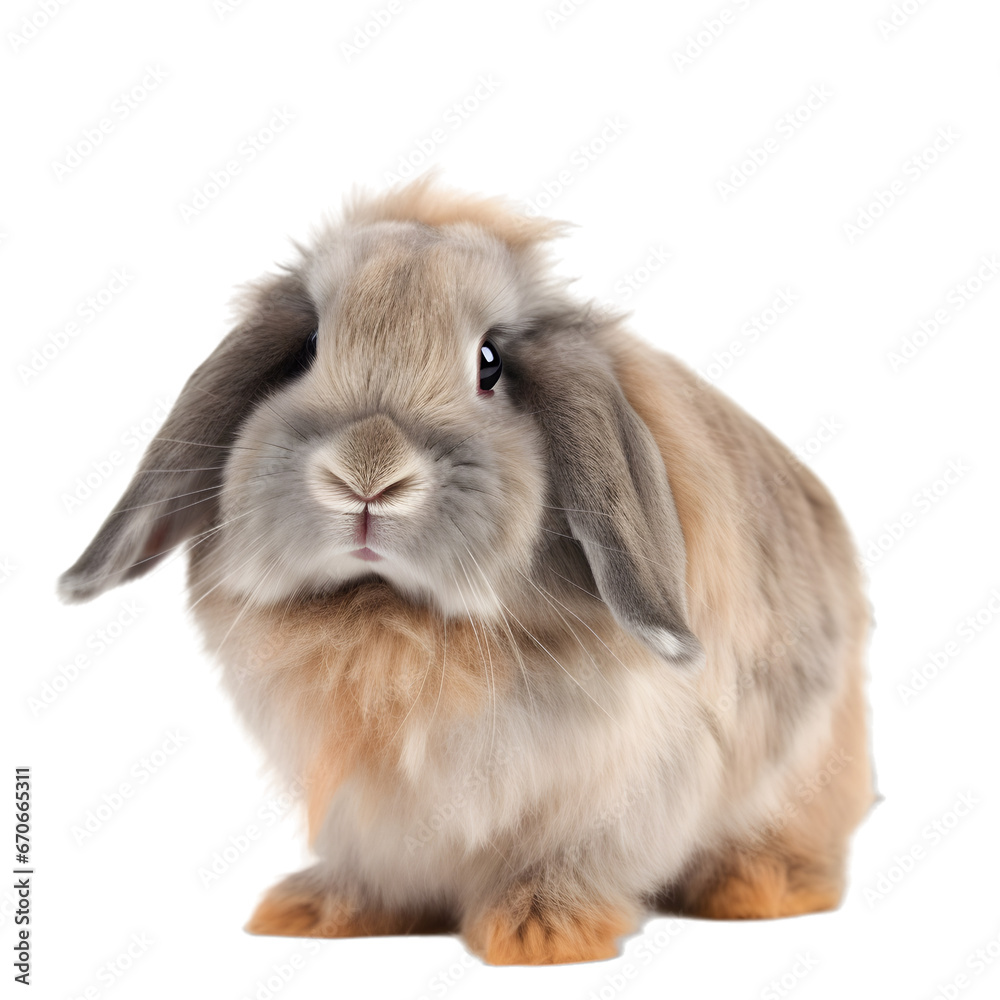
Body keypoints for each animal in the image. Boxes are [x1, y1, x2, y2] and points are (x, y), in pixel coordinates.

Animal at [59, 175, 875, 966]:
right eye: (309, 346)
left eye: (491, 363)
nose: (366, 476)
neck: (392, 621)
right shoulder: (363, 809)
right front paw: (321, 911)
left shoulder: (618, 791)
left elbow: (571, 858)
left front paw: (540, 933)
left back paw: (760, 887)